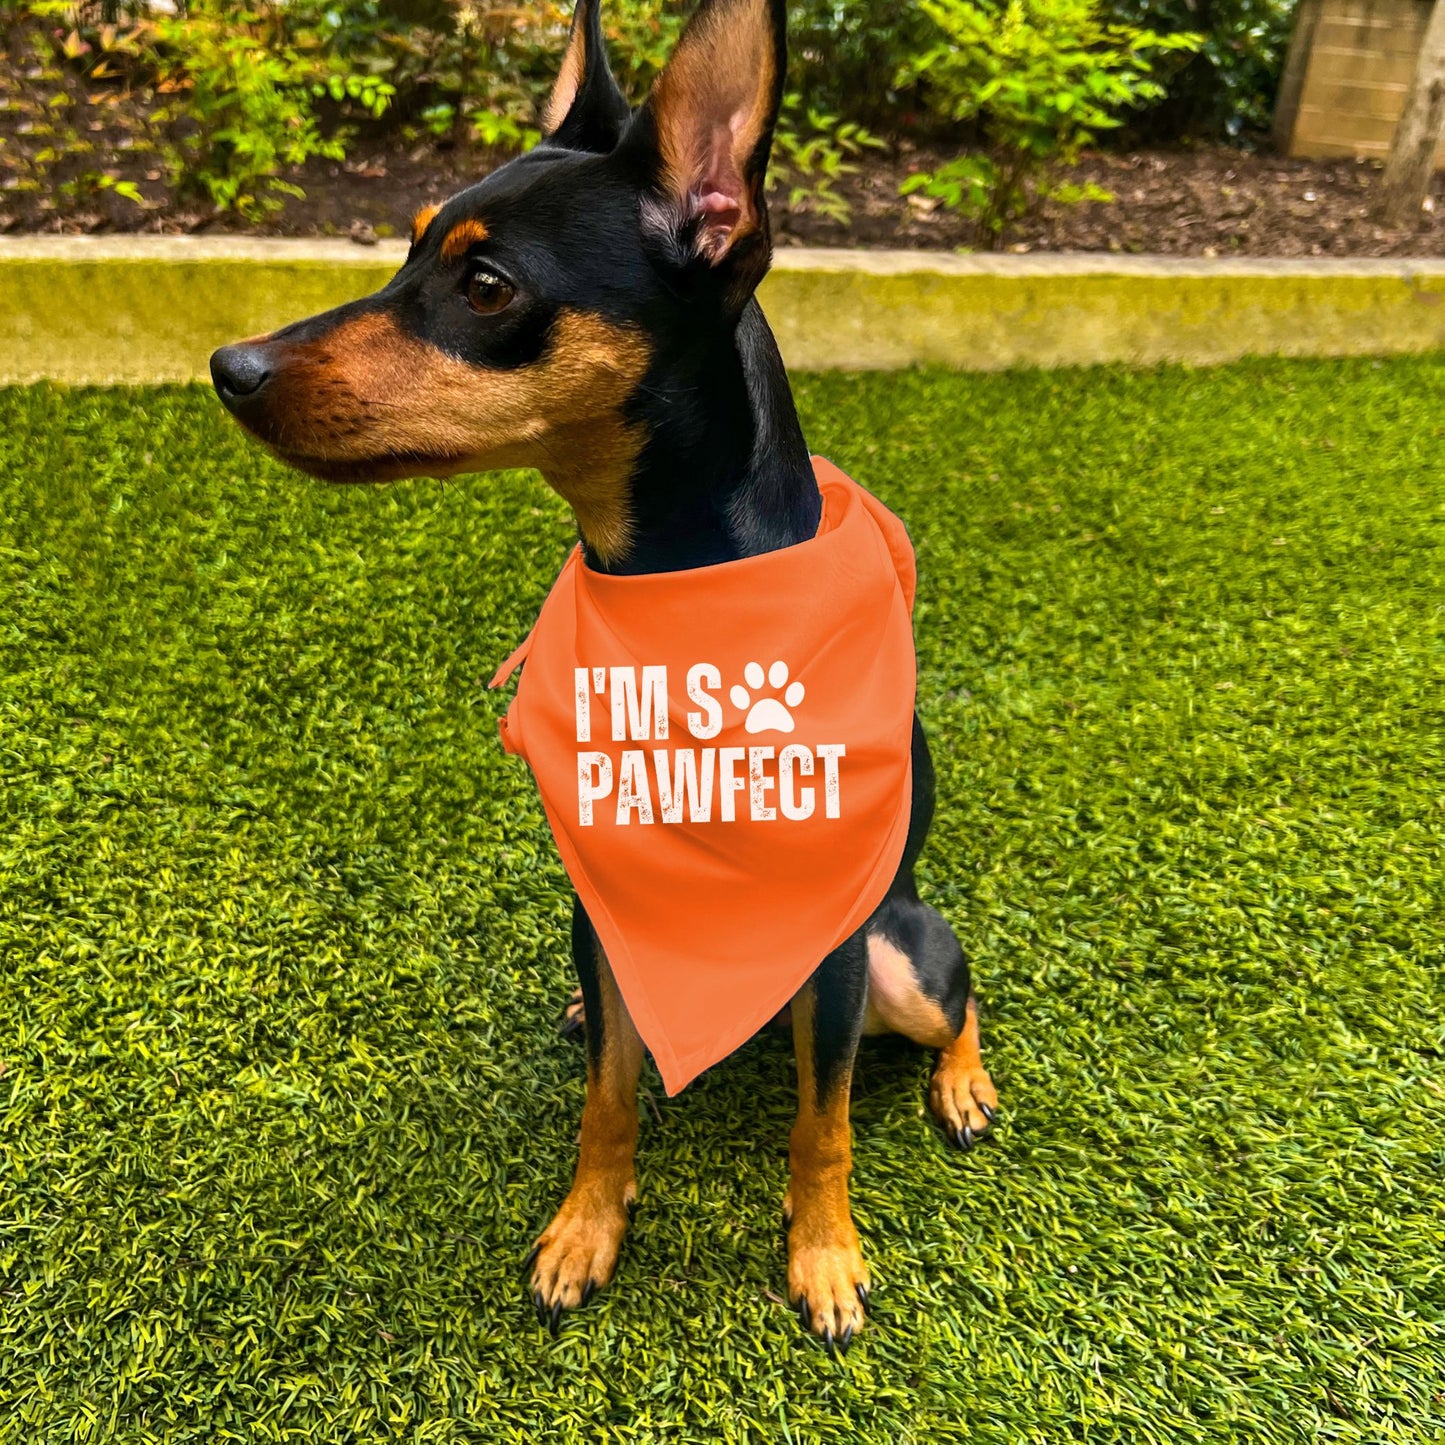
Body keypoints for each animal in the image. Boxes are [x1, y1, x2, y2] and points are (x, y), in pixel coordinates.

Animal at [209, 0, 999, 1346]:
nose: (230, 367)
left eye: (484, 285)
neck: (670, 605)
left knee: (960, 999)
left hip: (901, 954)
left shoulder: (835, 954)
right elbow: (610, 1097)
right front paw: (587, 1227)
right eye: (405, 251)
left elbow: (823, 1122)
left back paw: (963, 1085)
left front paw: (824, 1255)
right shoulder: (602, 895)